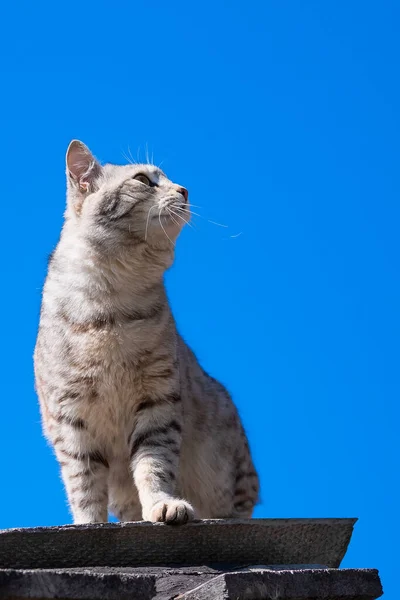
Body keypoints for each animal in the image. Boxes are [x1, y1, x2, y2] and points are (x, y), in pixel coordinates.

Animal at [34, 142, 260, 524]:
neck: (111, 301)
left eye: (170, 180)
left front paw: (163, 504)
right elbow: (84, 484)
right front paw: (88, 525)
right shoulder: (70, 416)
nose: (184, 190)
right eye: (143, 180)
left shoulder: (157, 400)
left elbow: (153, 465)